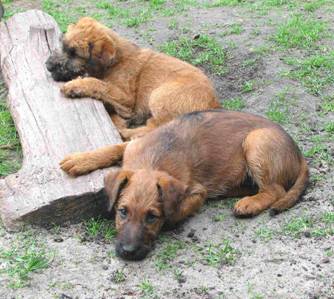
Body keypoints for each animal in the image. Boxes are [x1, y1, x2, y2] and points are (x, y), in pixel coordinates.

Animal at [46, 17, 219, 141]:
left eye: (74, 53)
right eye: (63, 46)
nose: (48, 66)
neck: (116, 60)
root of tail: (214, 105)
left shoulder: (126, 98)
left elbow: (99, 84)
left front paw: (74, 85)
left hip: (159, 96)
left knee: (157, 129)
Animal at [59, 110, 308, 260]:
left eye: (152, 217)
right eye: (122, 212)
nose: (128, 253)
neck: (153, 161)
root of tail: (298, 153)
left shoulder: (198, 192)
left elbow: (177, 211)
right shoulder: (133, 145)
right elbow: (114, 147)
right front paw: (81, 160)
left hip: (256, 141)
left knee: (274, 190)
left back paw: (249, 204)